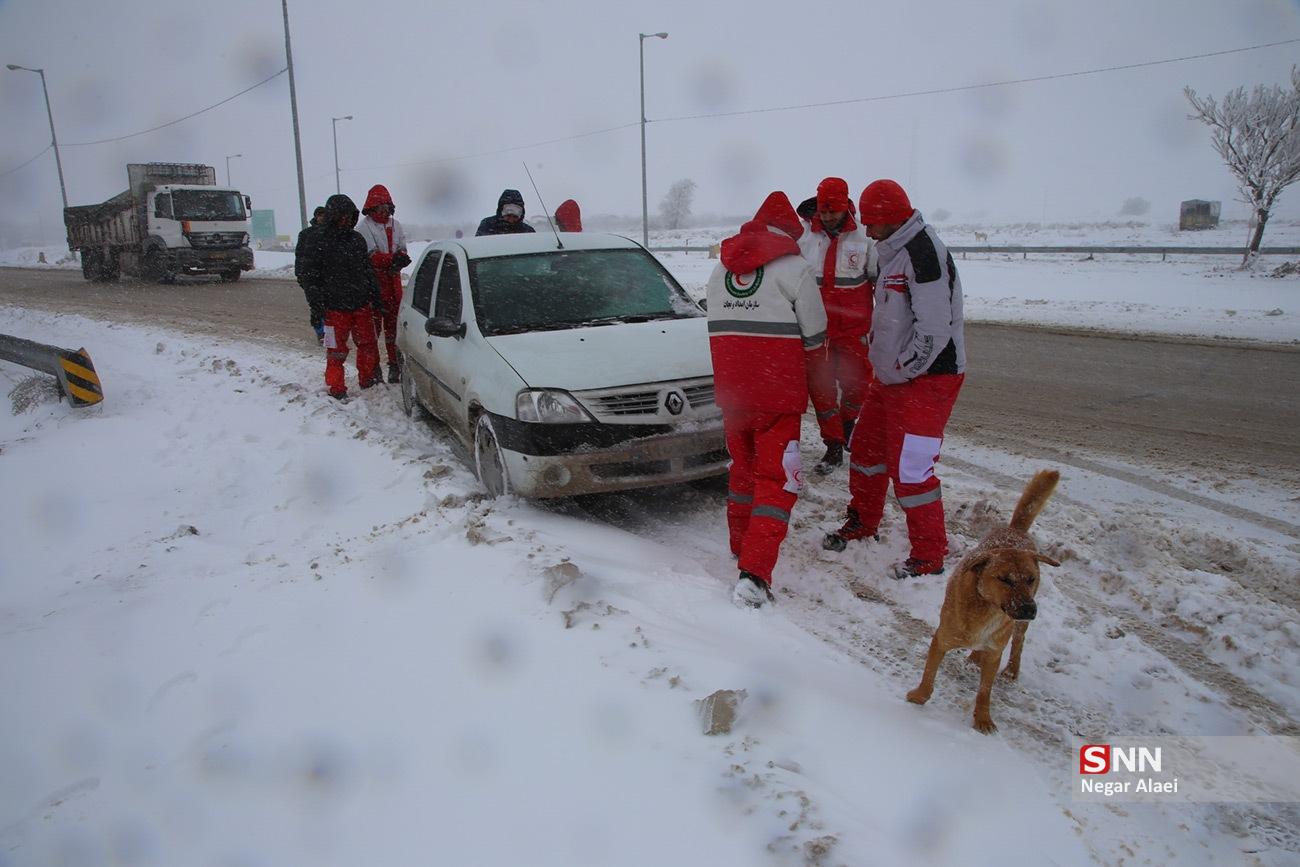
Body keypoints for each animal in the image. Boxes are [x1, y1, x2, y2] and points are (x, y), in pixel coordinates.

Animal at [909, 470, 1060, 738]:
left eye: (1030, 579)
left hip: (1016, 629)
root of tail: (1015, 530)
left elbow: (984, 691)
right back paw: (974, 658)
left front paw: (983, 719)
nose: (1029, 610)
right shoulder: (942, 639)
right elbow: (929, 675)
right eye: (1005, 579)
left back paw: (1010, 669)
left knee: (1017, 642)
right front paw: (919, 697)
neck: (986, 609)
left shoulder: (995, 650)